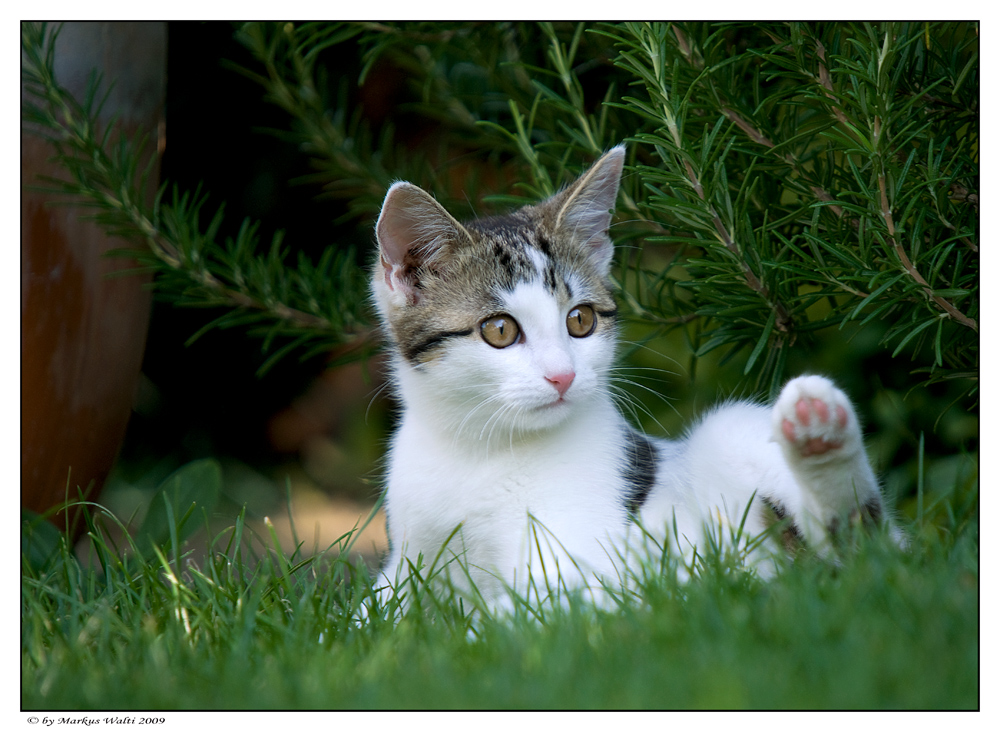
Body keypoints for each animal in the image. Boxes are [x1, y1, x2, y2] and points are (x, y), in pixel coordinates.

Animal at [370, 146, 900, 608]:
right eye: (499, 330)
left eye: (580, 320)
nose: (563, 376)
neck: (479, 447)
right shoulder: (409, 563)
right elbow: (379, 612)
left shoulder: (579, 562)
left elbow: (520, 612)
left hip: (732, 433)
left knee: (864, 550)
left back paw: (820, 435)